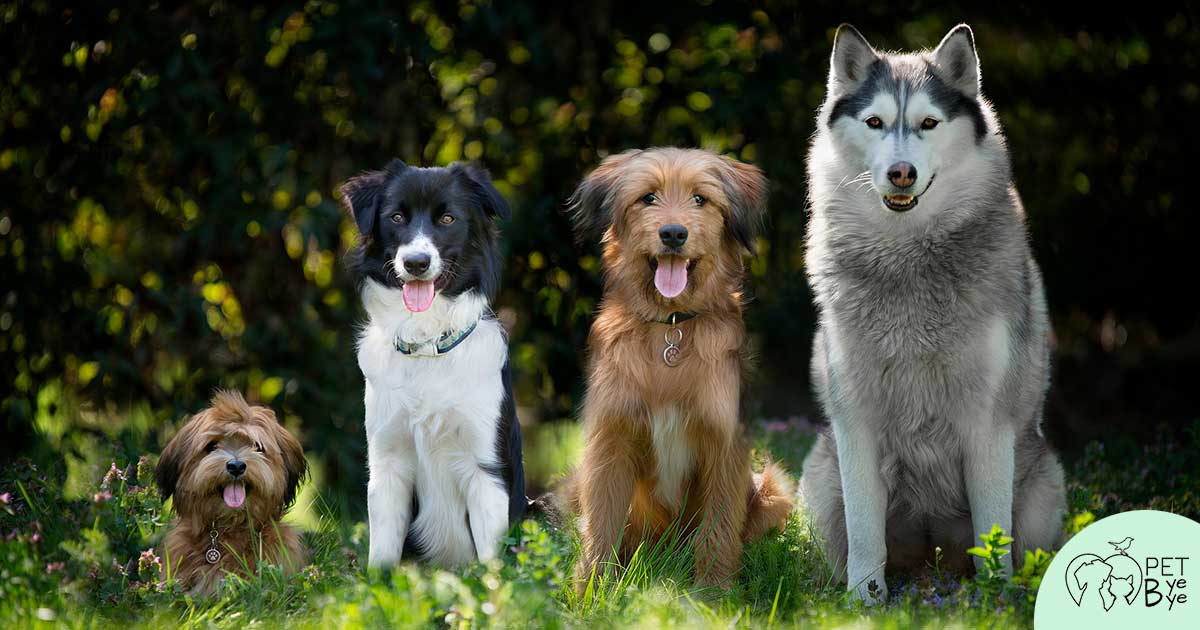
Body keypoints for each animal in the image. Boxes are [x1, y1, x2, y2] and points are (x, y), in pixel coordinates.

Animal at [564, 147, 792, 590]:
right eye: (648, 197)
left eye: (700, 199)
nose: (673, 234)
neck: (670, 327)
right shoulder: (610, 441)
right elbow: (601, 526)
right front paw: (590, 590)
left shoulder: (724, 443)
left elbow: (718, 529)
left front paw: (714, 592)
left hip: (773, 489)